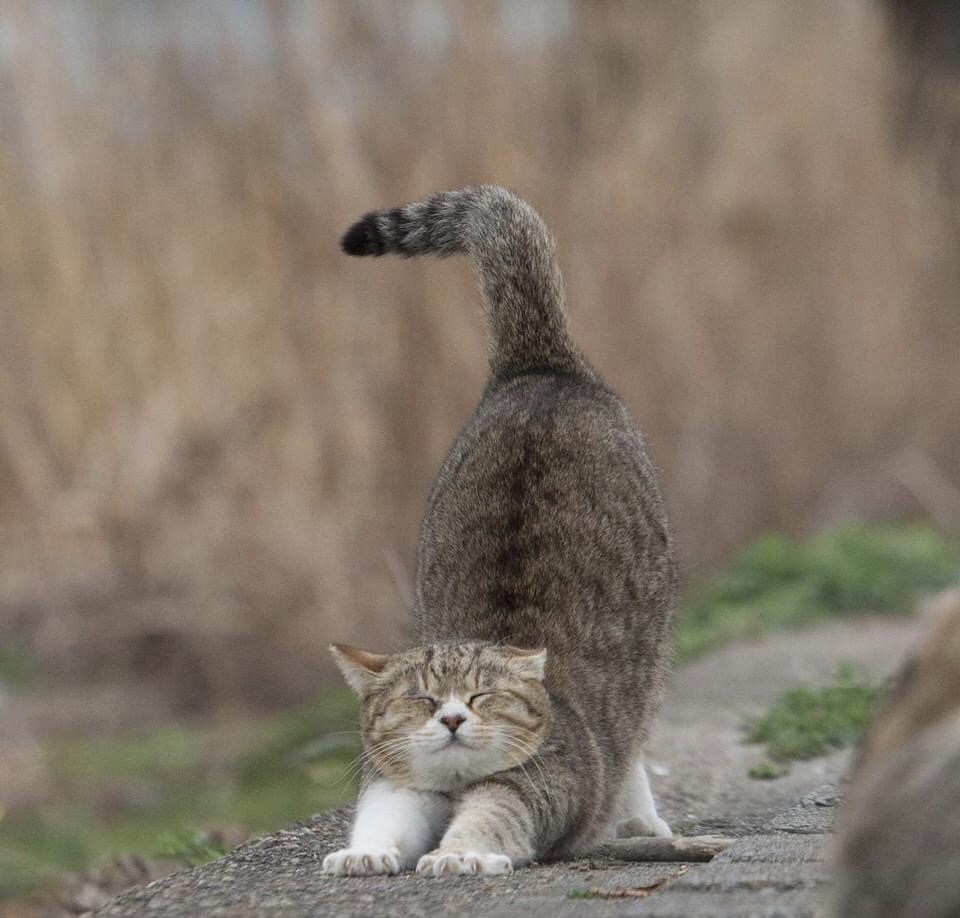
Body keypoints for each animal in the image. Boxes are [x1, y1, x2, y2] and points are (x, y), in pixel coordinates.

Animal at [322, 185, 676, 876]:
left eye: (483, 697)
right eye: (423, 701)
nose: (454, 720)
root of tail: (540, 366)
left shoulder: (538, 783)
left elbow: (491, 818)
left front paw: (459, 854)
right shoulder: (397, 782)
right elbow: (382, 818)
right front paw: (366, 853)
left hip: (650, 656)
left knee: (633, 744)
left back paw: (641, 818)